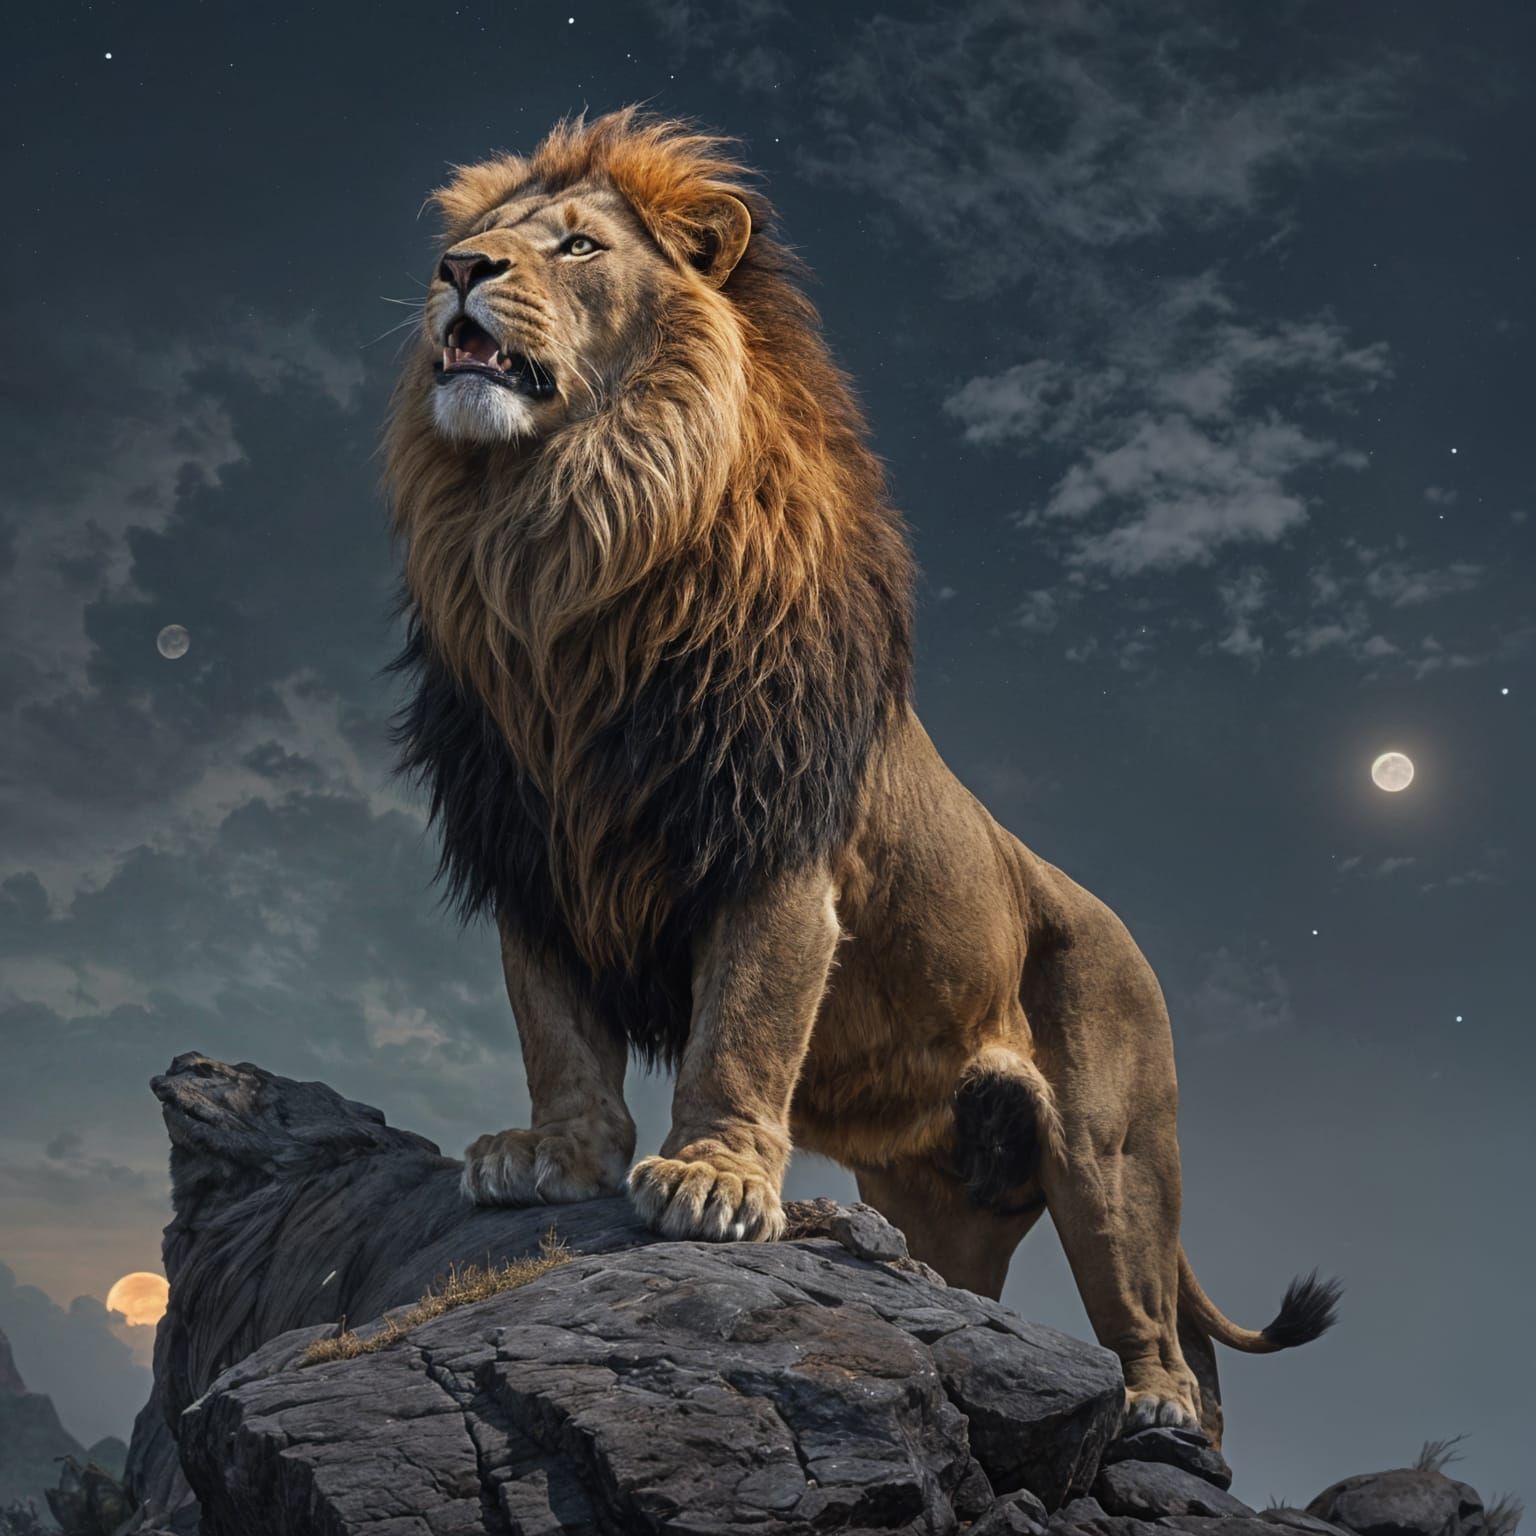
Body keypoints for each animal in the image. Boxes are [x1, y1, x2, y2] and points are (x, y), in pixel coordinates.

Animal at [381, 106, 1339, 1444]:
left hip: (1113, 1154)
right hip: (942, 1184)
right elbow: (556, 1029)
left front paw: (711, 1178)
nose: (457, 271)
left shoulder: (773, 844)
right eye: (480, 235)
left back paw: (1156, 1410)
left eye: (575, 245)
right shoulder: (533, 852)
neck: (564, 543)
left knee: (1152, 1308)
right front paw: (556, 1156)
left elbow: (741, 1024)